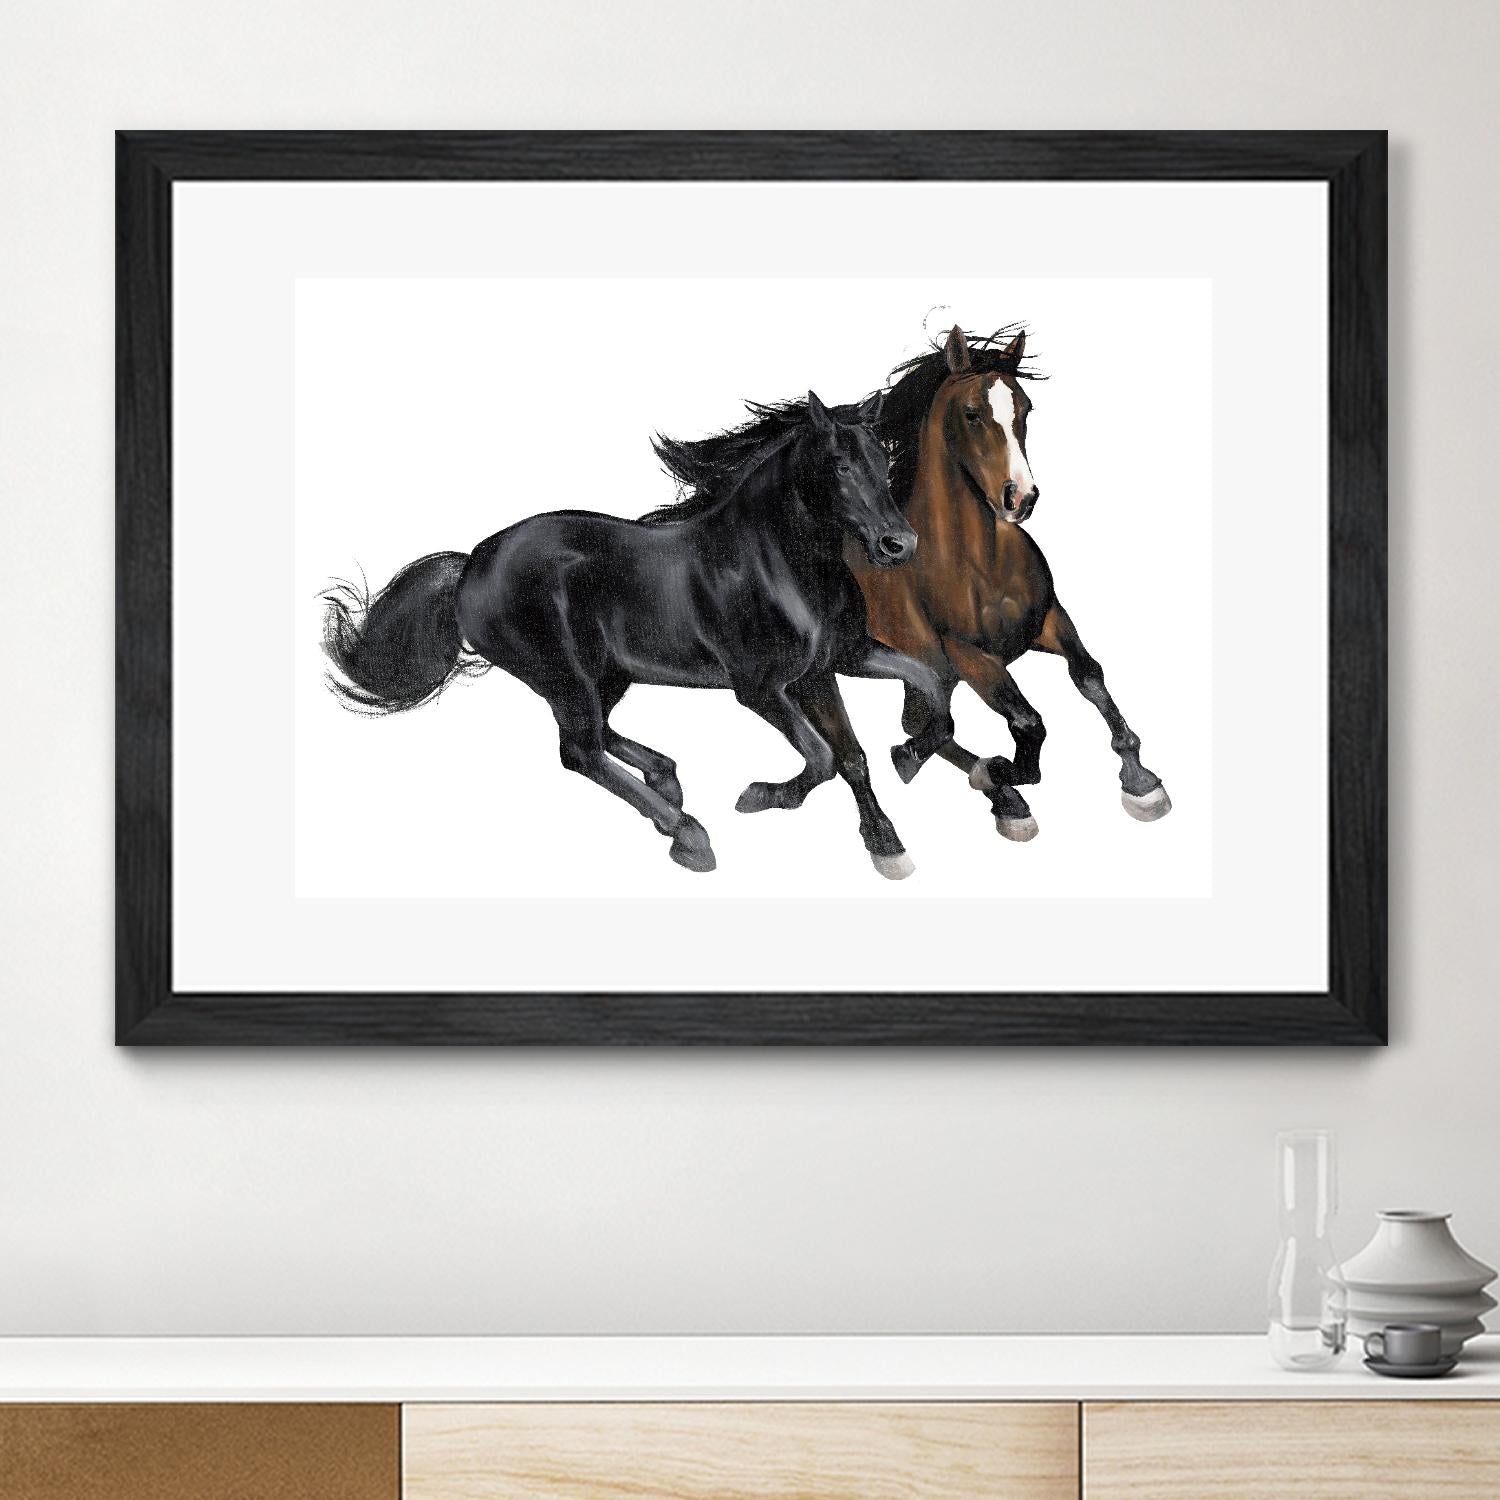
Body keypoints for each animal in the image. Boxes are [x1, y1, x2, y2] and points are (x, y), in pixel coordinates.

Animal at [322, 392, 955, 879]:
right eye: (840, 466)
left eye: (883, 458)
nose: (899, 545)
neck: (776, 563)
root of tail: (473, 562)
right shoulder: (760, 688)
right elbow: (824, 756)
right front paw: (761, 796)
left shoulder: (833, 664)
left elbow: (896, 717)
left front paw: (893, 824)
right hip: (563, 676)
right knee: (579, 749)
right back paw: (689, 834)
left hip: (605, 675)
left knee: (597, 735)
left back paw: (667, 785)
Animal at [661, 325, 1170, 840]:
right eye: (972, 414)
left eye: (1025, 409)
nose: (1020, 498)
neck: (978, 562)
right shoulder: (967, 655)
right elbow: (1027, 723)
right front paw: (999, 773)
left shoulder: (1049, 619)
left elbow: (1089, 675)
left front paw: (1142, 782)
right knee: (906, 734)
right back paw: (988, 792)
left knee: (920, 725)